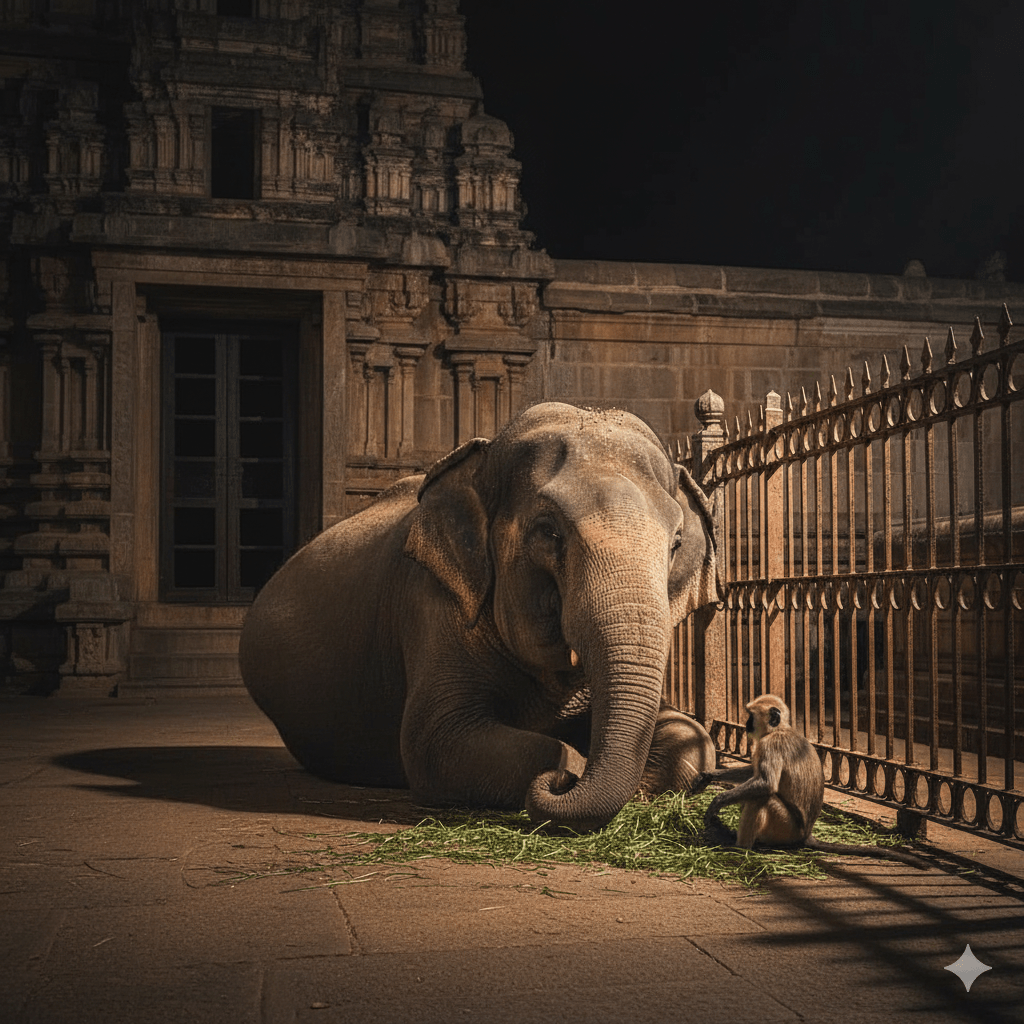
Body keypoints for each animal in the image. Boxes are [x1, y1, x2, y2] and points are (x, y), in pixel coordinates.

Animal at [239, 401, 722, 832]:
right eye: (548, 531)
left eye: (677, 543)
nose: (565, 784)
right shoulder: (431, 603)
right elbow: (436, 742)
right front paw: (569, 767)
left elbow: (693, 739)